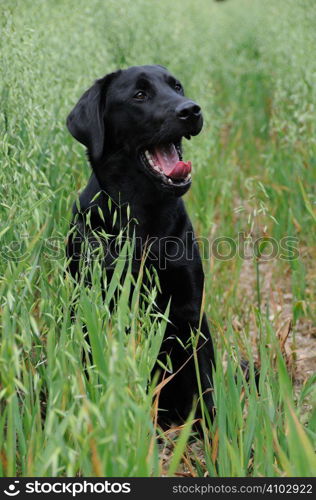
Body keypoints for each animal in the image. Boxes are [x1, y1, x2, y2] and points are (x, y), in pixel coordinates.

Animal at [66, 65, 215, 426]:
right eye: (139, 95)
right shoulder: (90, 306)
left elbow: (205, 391)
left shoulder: (190, 312)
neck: (145, 222)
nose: (191, 110)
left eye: (177, 87)